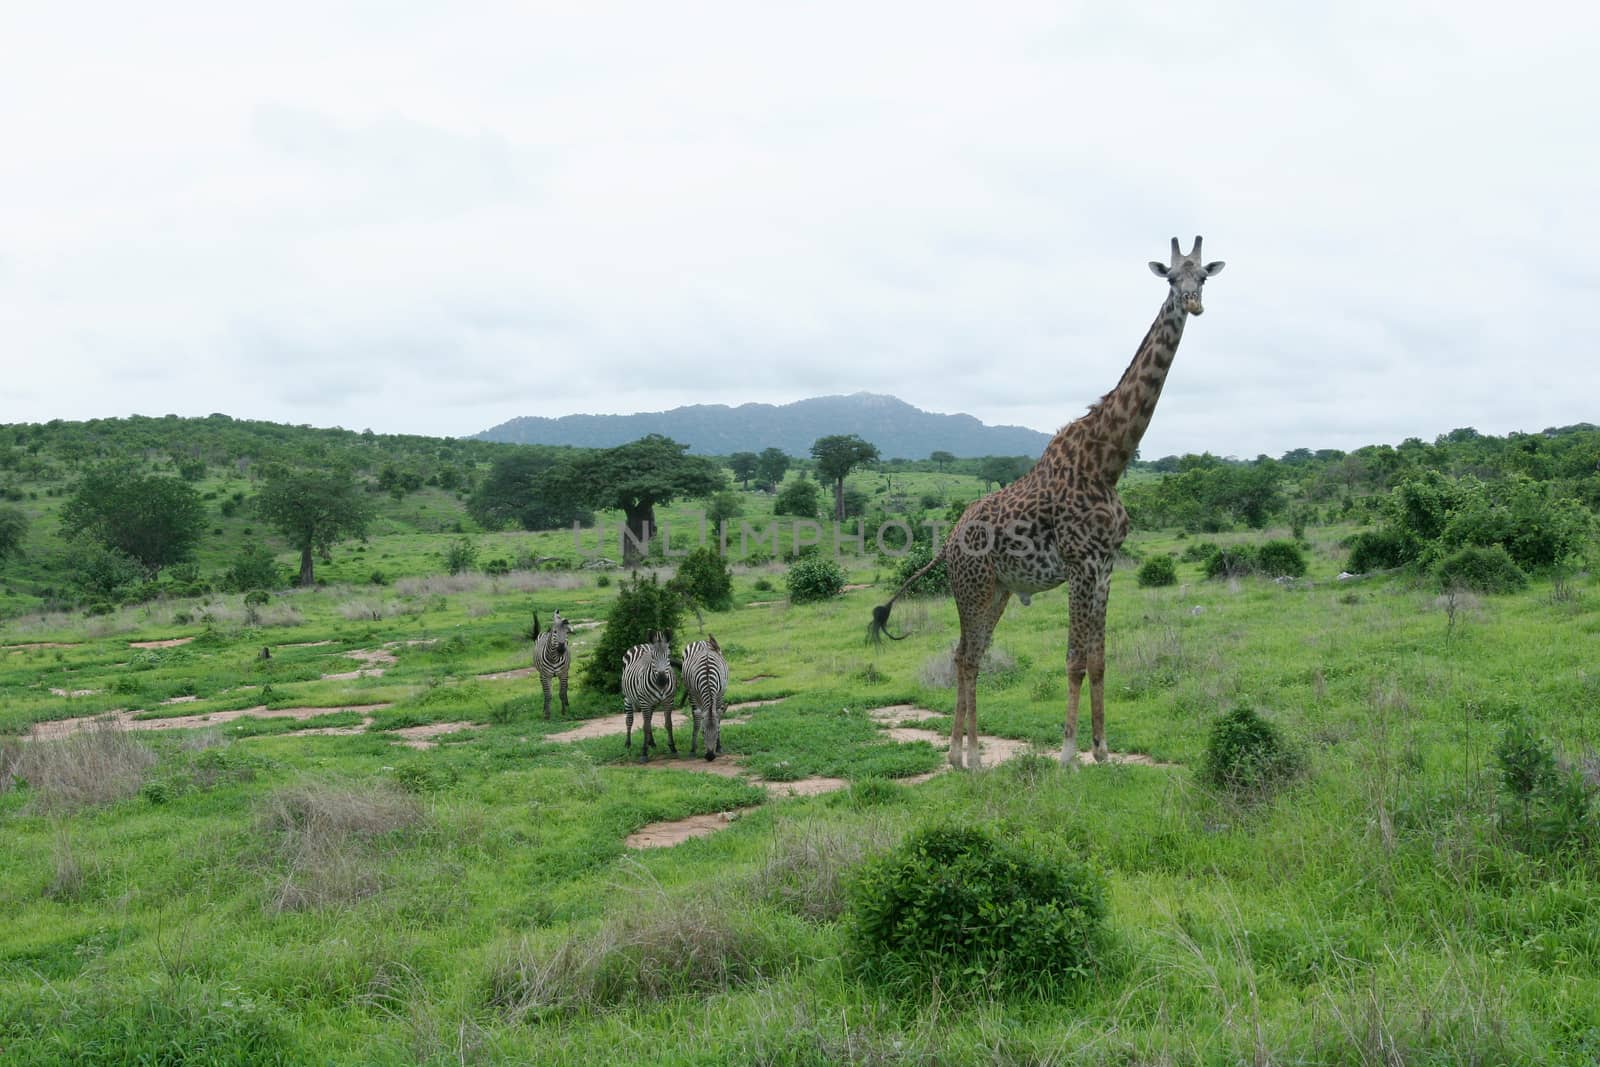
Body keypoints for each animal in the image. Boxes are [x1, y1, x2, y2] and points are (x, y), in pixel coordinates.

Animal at [620, 630, 678, 764]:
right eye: (653, 657)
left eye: (669, 656)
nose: (662, 681)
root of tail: (641, 645)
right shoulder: (645, 703)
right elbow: (645, 727)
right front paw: (644, 753)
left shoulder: (668, 701)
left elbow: (668, 724)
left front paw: (673, 748)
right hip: (628, 698)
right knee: (629, 720)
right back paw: (628, 744)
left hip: (651, 704)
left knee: (649, 720)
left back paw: (651, 742)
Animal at [876, 235, 1222, 767]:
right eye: (1170, 277)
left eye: (1202, 276)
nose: (1193, 303)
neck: (1108, 460)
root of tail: (948, 543)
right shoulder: (1080, 564)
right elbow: (1074, 659)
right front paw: (1067, 755)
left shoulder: (1105, 566)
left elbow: (1099, 658)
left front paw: (1102, 752)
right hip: (972, 586)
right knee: (966, 655)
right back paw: (964, 757)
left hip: (997, 590)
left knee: (971, 654)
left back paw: (969, 758)